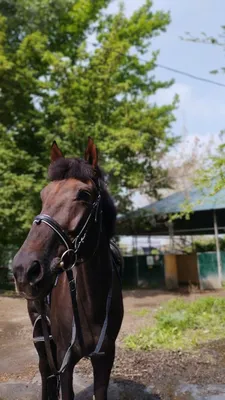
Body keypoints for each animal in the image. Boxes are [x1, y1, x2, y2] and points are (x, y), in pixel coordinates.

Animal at [12, 138, 124, 400]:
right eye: (43, 195)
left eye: (83, 194)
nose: (24, 269)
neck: (90, 302)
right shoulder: (65, 358)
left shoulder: (105, 357)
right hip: (41, 335)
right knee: (45, 370)